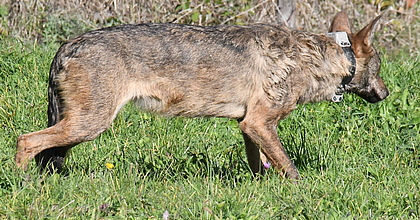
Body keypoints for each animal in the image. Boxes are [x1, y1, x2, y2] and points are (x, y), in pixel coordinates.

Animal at [17, 10, 390, 180]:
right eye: (379, 67)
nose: (386, 93)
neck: (314, 60)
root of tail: (68, 44)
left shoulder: (249, 126)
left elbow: (260, 165)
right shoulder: (260, 123)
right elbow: (290, 169)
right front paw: (301, 192)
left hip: (81, 126)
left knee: (43, 149)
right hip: (90, 124)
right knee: (26, 141)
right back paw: (22, 185)